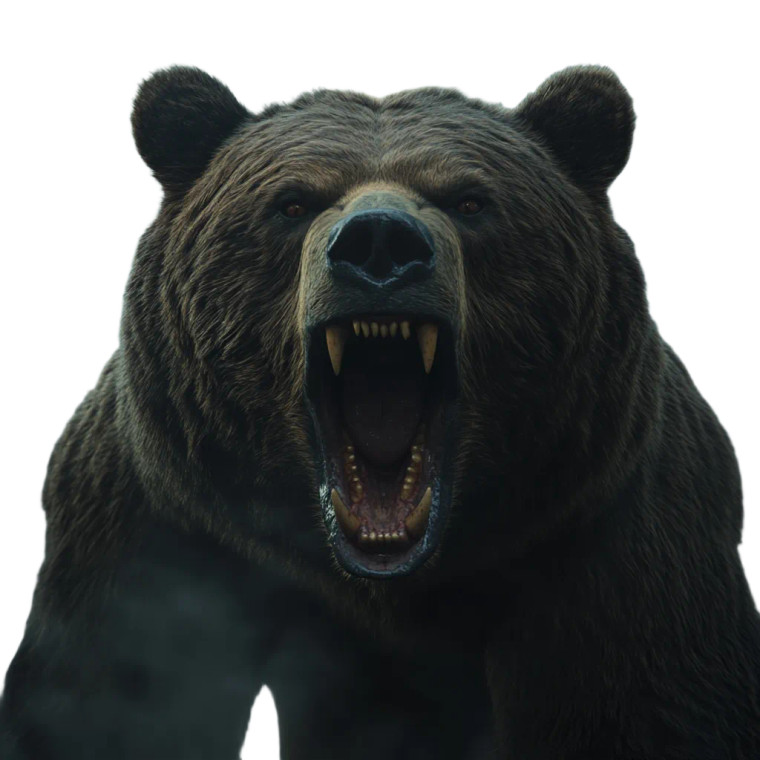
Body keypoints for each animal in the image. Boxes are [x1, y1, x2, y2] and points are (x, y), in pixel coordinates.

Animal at [1, 63, 759, 759]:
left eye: (470, 199)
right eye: (292, 203)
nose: (379, 243)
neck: (388, 583)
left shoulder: (608, 533)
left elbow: (648, 709)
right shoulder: (162, 524)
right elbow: (107, 706)